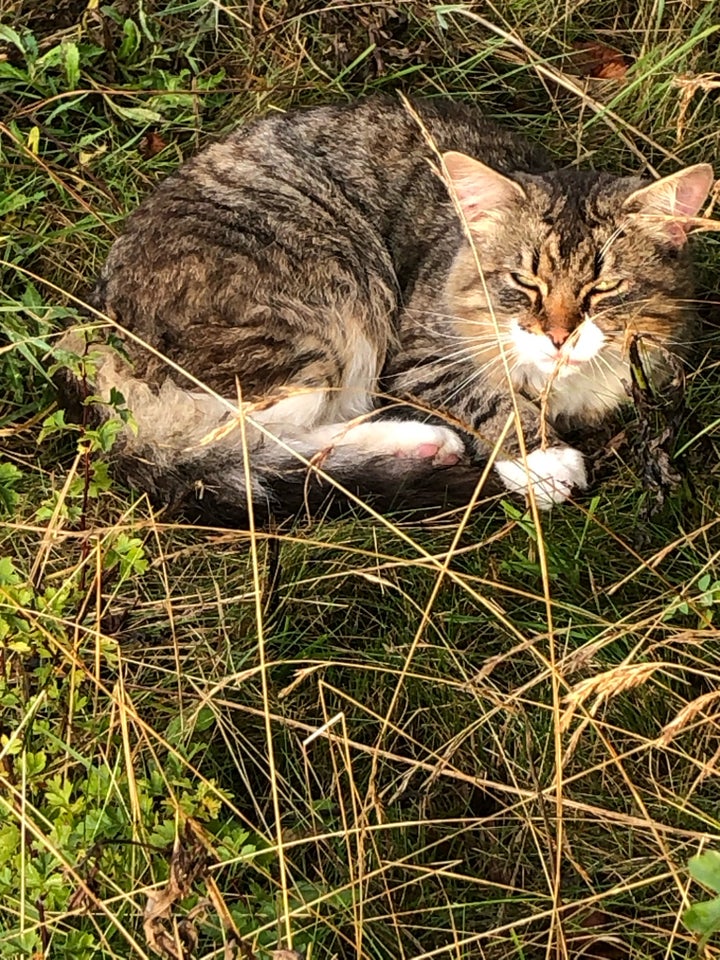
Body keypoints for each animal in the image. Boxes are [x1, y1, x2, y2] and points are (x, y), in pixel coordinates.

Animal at [59, 95, 716, 524]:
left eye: (604, 290)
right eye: (522, 282)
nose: (557, 335)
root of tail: (102, 345)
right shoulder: (415, 355)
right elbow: (490, 398)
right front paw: (540, 457)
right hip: (330, 302)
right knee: (232, 445)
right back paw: (415, 443)